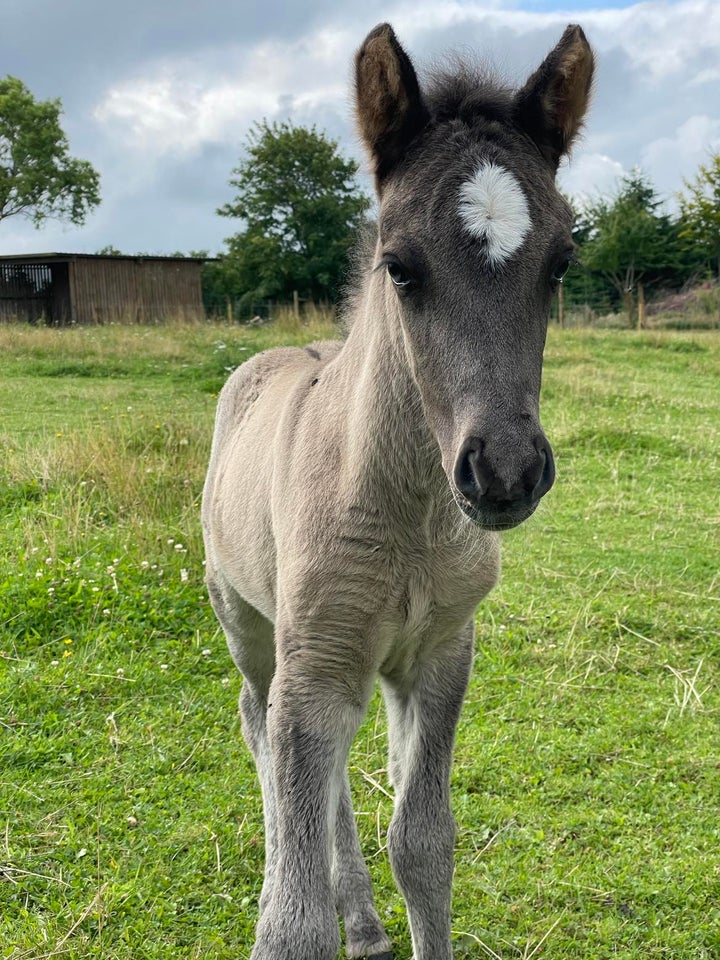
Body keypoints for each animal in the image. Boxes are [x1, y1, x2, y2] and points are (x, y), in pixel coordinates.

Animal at [201, 22, 592, 960]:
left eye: (561, 263)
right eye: (400, 268)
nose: (504, 471)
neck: (408, 517)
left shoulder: (440, 655)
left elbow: (424, 842)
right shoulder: (311, 667)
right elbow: (292, 917)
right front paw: (307, 908)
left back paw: (370, 925)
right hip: (250, 626)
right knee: (259, 729)